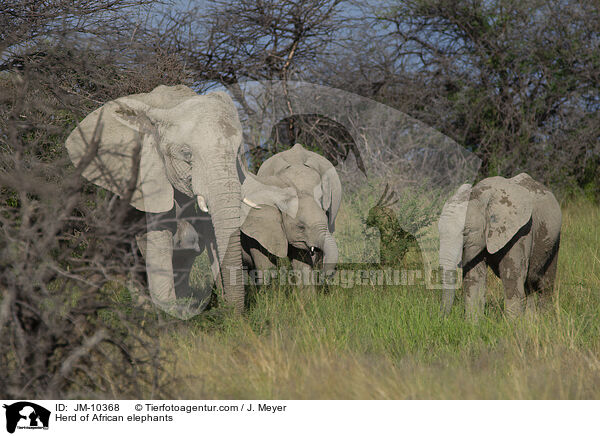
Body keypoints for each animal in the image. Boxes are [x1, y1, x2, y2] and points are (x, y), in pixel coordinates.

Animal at [436, 174, 564, 320]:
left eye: (466, 232)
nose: (442, 319)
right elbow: (474, 276)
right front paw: (473, 323)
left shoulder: (521, 232)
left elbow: (511, 275)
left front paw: (513, 324)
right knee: (529, 285)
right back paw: (531, 320)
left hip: (554, 239)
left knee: (545, 284)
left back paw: (545, 319)